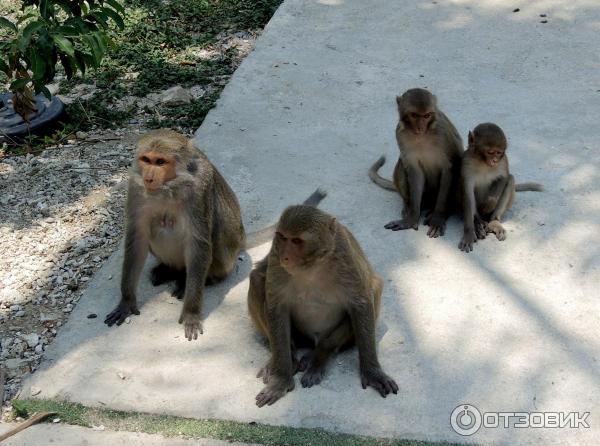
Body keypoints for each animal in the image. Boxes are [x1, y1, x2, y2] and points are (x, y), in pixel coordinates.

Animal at [105, 127, 326, 340]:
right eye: (146, 160)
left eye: (160, 162)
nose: (149, 178)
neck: (170, 186)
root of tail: (241, 238)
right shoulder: (136, 187)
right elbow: (137, 237)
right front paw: (126, 301)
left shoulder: (199, 188)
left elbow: (199, 243)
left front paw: (191, 313)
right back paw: (169, 270)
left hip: (227, 253)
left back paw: (203, 279)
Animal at [248, 206, 398, 408]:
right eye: (282, 237)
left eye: (297, 241)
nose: (284, 257)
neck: (311, 266)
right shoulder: (274, 253)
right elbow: (276, 306)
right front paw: (281, 379)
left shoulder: (344, 255)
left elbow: (362, 303)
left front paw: (372, 372)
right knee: (257, 278)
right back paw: (287, 355)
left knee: (373, 288)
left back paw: (318, 355)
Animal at [368, 86, 462, 237]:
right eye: (414, 115)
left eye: (426, 116)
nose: (420, 127)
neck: (423, 135)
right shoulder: (400, 134)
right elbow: (414, 171)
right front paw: (411, 219)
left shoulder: (444, 132)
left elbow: (449, 168)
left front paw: (438, 218)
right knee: (403, 163)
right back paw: (408, 205)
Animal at [460, 122, 544, 253]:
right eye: (490, 152)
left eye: (498, 153)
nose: (494, 161)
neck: (483, 163)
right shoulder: (466, 162)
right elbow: (467, 192)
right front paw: (469, 231)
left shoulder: (504, 161)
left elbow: (504, 177)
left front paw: (489, 204)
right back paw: (477, 222)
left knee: (510, 180)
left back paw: (494, 221)